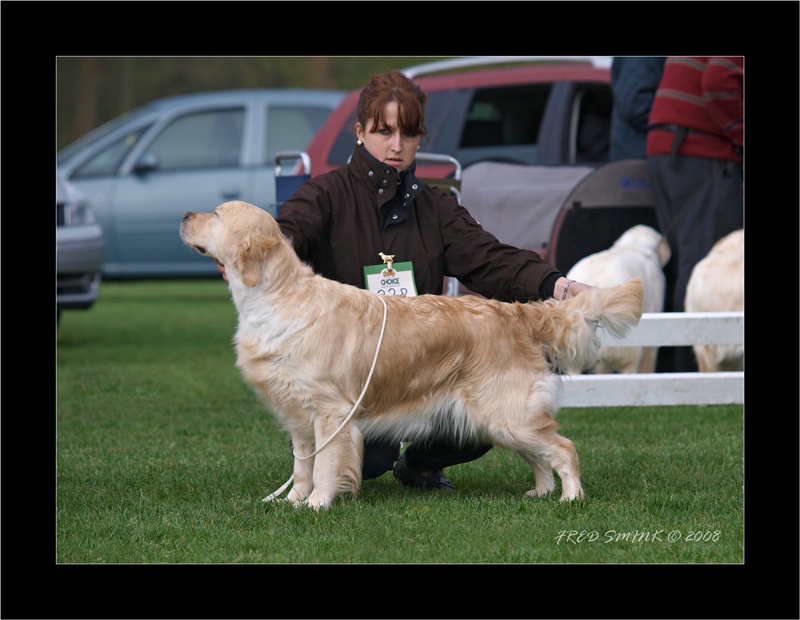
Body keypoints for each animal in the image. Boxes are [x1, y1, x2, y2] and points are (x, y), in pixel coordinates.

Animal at [181, 201, 644, 506]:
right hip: (500, 418)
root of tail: (518, 313)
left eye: (217, 215)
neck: (277, 295)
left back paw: (570, 498)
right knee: (540, 455)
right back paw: (541, 492)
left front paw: (317, 504)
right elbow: (302, 465)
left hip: (507, 412)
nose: (185, 216)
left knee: (563, 448)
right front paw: (292, 502)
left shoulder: (331, 413)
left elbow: (326, 464)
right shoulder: (298, 414)